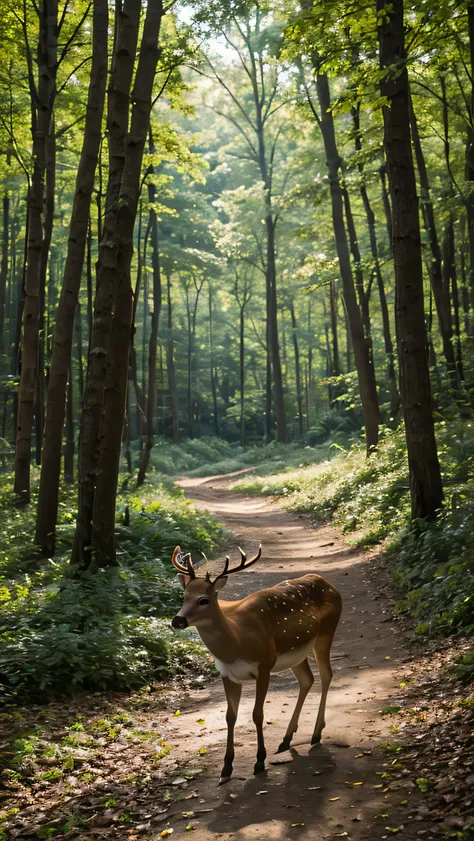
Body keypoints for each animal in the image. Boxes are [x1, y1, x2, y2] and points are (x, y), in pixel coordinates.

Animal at [169, 540, 340, 784]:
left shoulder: (265, 665)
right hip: (297, 654)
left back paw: (316, 734)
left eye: (204, 600)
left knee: (326, 675)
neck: (237, 643)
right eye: (184, 596)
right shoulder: (226, 673)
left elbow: (257, 714)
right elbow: (230, 716)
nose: (177, 620)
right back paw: (286, 740)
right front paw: (226, 768)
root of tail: (329, 584)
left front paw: (259, 761)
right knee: (307, 680)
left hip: (326, 632)